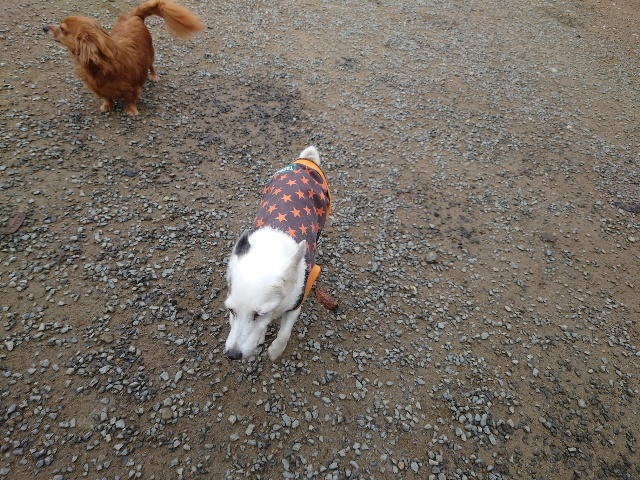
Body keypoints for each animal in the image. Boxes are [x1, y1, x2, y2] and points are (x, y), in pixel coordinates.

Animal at [43, 0, 202, 116]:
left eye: (62, 28)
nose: (44, 28)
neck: (102, 66)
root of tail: (134, 16)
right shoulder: (98, 88)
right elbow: (106, 97)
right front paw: (107, 105)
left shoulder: (132, 88)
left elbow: (130, 99)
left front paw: (131, 110)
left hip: (150, 53)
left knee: (151, 65)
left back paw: (154, 76)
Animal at [224, 146, 332, 361]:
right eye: (231, 310)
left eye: (259, 314)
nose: (232, 355)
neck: (271, 248)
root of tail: (306, 161)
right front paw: (261, 336)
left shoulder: (297, 302)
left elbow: (284, 333)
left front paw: (275, 351)